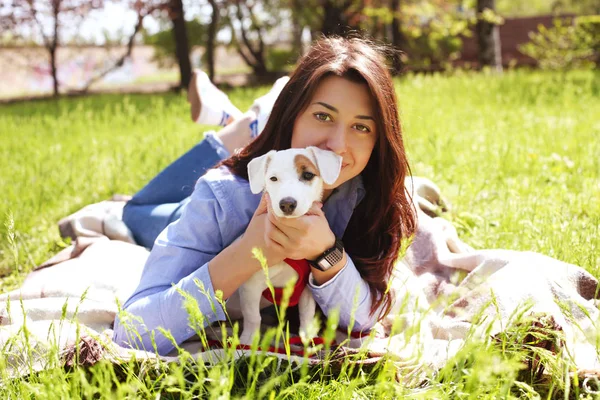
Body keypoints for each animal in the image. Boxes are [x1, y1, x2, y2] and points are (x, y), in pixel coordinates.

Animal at [237, 146, 344, 344]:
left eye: (308, 175)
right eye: (273, 178)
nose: (287, 204)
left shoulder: (306, 288)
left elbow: (307, 312)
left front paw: (307, 336)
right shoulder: (251, 286)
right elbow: (253, 317)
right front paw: (248, 341)